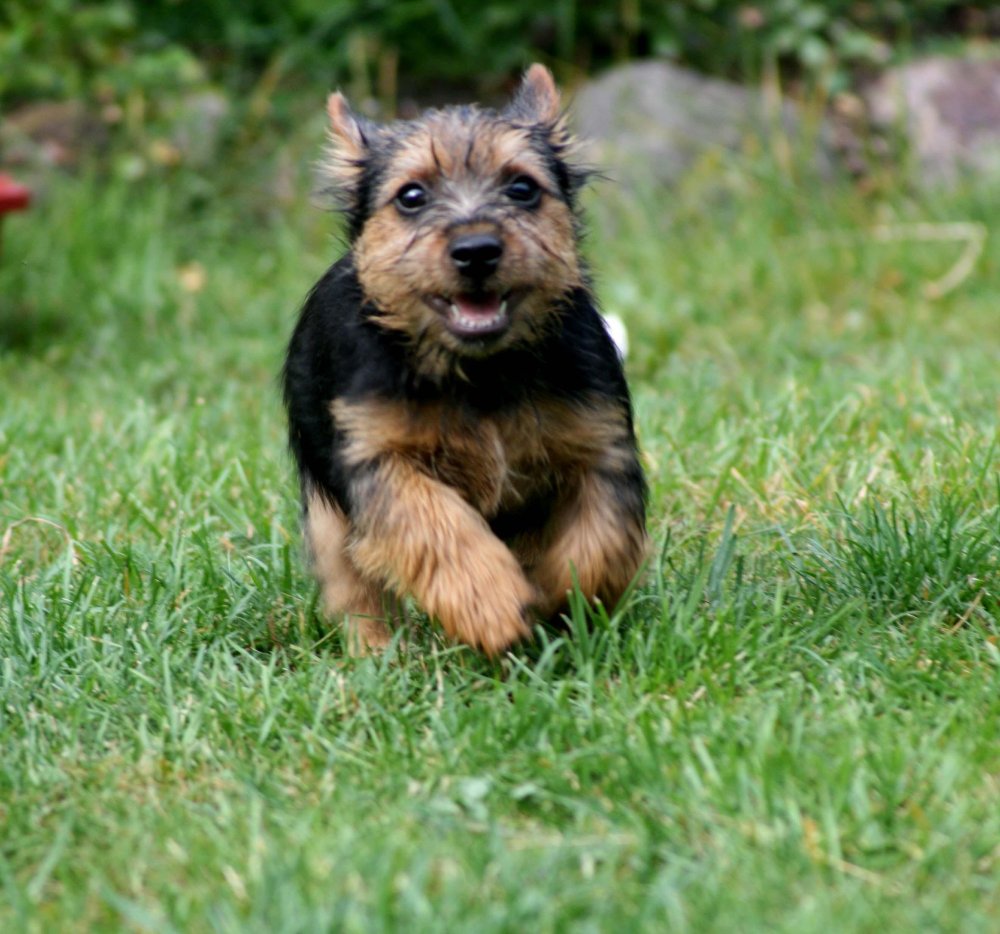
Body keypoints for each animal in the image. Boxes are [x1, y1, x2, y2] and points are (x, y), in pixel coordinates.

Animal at [282, 64, 648, 660]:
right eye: (411, 196)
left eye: (522, 188)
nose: (476, 250)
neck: (481, 374)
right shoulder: (378, 457)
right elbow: (435, 523)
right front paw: (491, 605)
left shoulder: (600, 445)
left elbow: (600, 543)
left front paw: (553, 597)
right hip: (326, 514)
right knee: (354, 586)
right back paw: (378, 654)